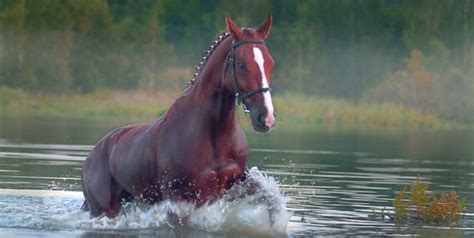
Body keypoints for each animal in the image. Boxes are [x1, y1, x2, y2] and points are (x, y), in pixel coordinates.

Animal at [80, 14, 276, 218]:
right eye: (242, 64)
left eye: (271, 63)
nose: (266, 117)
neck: (214, 134)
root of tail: (92, 155)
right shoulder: (179, 196)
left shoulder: (237, 182)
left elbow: (269, 199)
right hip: (104, 209)